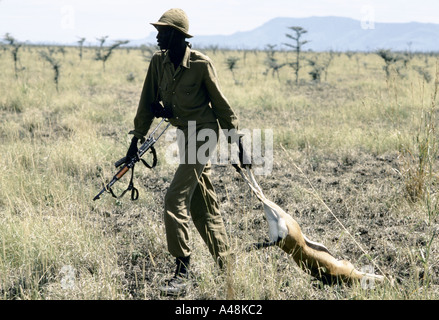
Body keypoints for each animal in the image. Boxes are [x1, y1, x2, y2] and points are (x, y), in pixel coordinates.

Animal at [235, 166, 384, 284]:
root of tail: (280, 240)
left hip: (277, 220)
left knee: (260, 194)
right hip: (281, 215)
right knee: (260, 193)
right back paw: (240, 165)